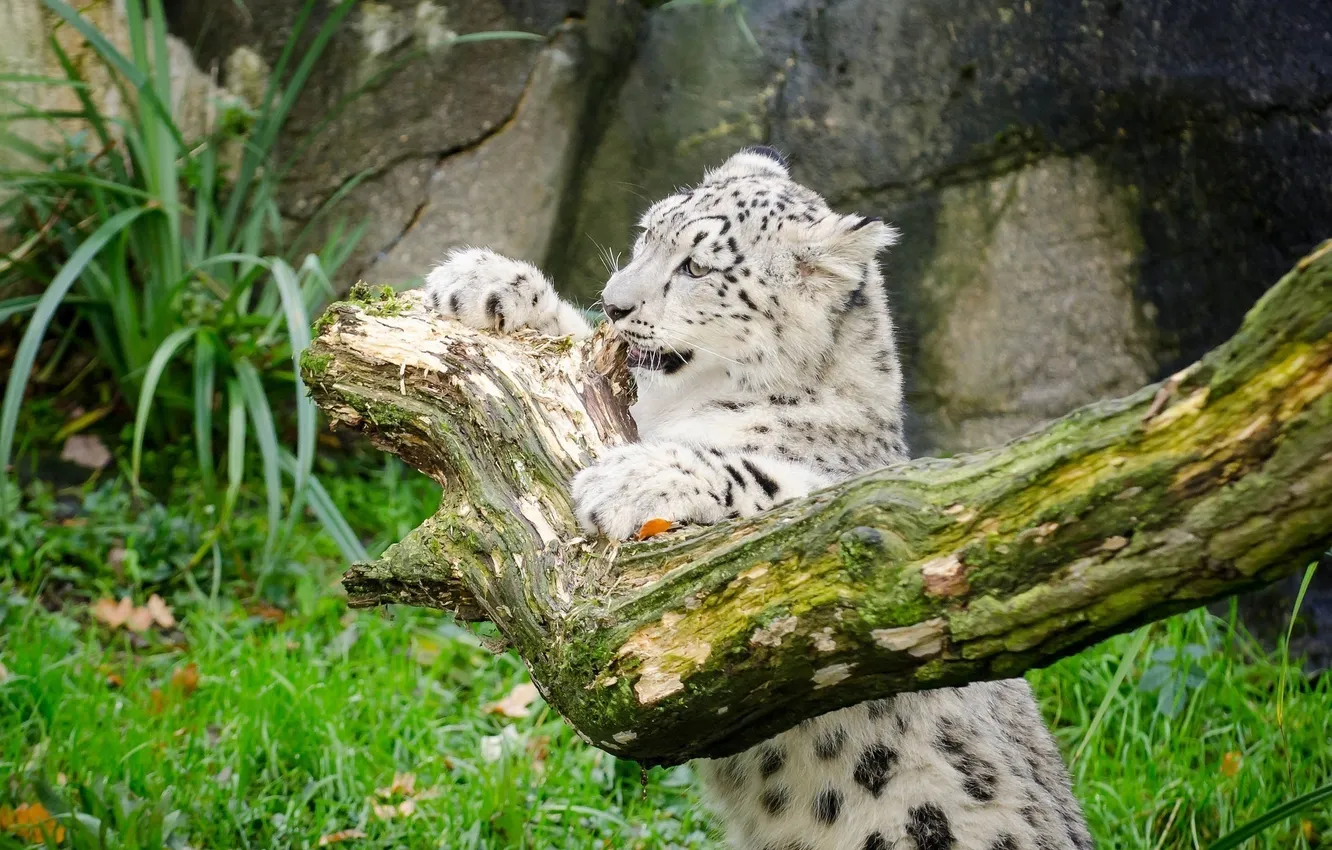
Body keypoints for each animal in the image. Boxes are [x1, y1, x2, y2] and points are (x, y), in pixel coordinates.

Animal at [420, 146, 1086, 850]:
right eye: (647, 234)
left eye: (697, 266)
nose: (615, 303)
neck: (685, 402)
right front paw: (486, 281)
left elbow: (765, 486)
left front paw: (626, 480)